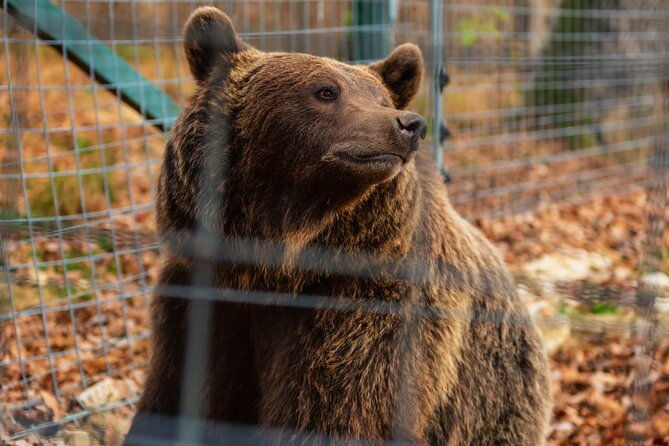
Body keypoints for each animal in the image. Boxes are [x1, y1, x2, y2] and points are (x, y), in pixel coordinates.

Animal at [125, 6, 551, 445]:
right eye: (326, 91)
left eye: (380, 97)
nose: (408, 124)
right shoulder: (199, 301)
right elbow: (171, 396)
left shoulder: (368, 313)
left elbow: (333, 411)